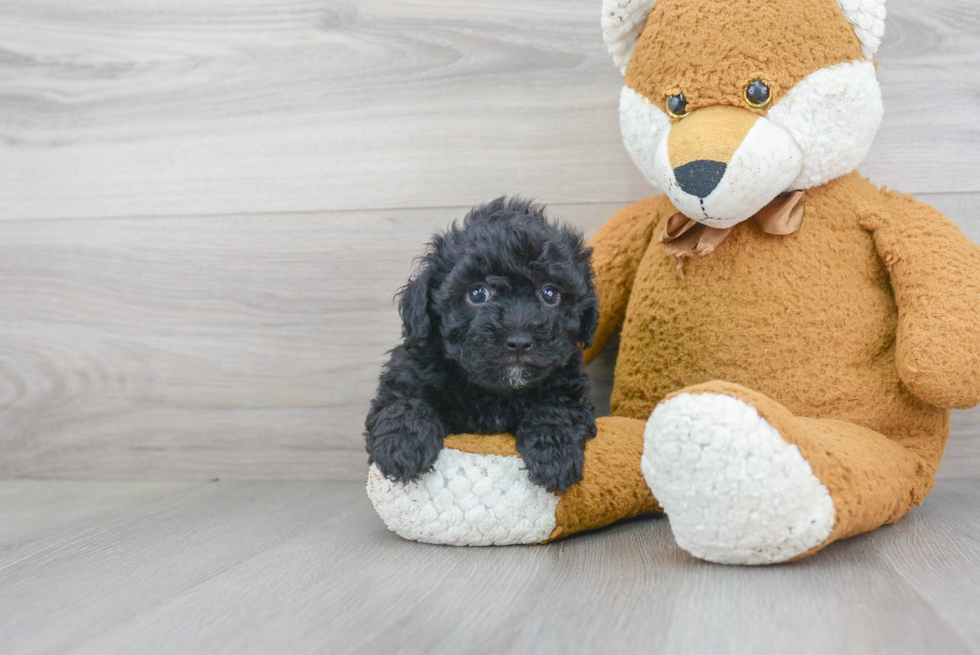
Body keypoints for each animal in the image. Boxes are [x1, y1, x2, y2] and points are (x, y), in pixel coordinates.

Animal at [366, 199, 600, 492]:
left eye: (550, 294)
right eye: (477, 293)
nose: (519, 342)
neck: (495, 391)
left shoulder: (567, 378)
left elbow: (558, 405)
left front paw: (554, 453)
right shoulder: (411, 367)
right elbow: (403, 399)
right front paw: (402, 446)